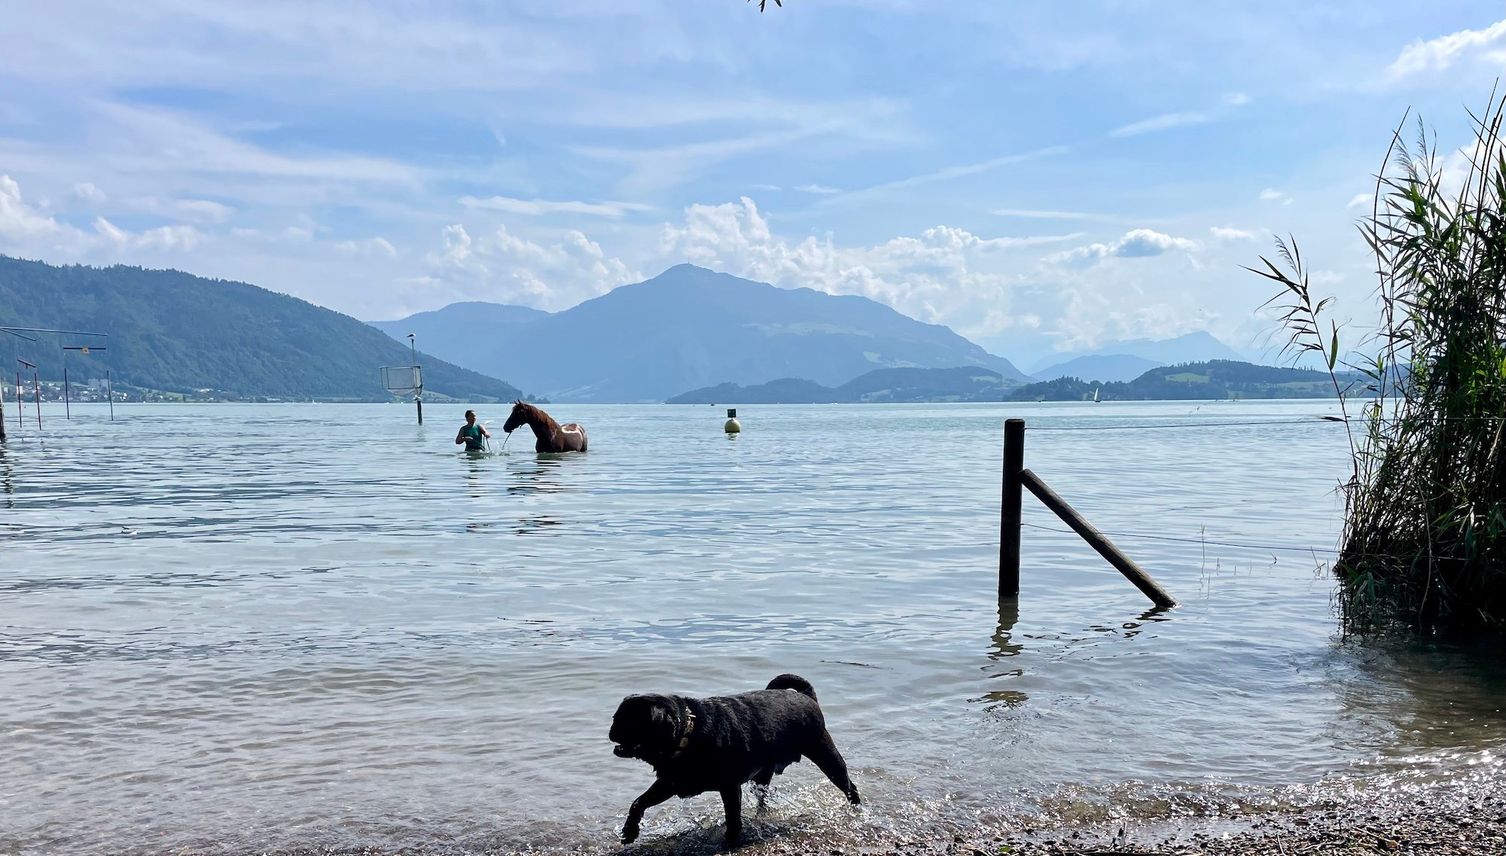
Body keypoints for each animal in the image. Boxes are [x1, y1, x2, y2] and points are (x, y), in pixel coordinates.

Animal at [602, 675, 861, 849]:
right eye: (616, 717)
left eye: (628, 721)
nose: (611, 729)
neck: (689, 733)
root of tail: (805, 696)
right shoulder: (669, 783)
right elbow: (638, 803)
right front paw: (629, 831)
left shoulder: (729, 787)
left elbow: (733, 818)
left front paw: (731, 841)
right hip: (763, 776)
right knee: (762, 798)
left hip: (826, 756)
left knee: (849, 786)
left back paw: (857, 810)